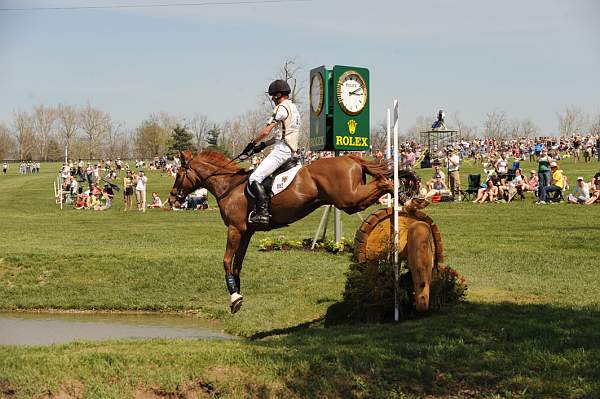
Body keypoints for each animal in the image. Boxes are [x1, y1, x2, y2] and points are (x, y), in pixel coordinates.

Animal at [169, 150, 418, 312]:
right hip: (350, 200)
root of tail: (350, 157)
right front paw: (237, 293)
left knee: (384, 181)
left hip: (349, 199)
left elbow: (226, 260)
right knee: (383, 182)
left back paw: (406, 197)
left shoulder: (235, 229)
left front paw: (234, 297)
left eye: (178, 174)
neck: (228, 187)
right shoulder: (246, 233)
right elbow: (237, 264)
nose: (172, 199)